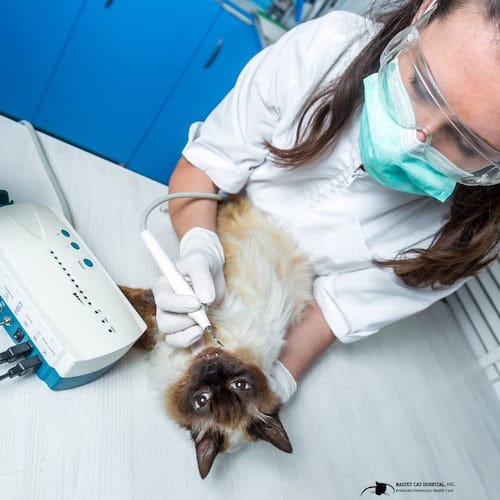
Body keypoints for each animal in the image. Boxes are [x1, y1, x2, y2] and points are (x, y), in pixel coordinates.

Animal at [121, 194, 312, 476]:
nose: (211, 369)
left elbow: (141, 312)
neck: (192, 356)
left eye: (202, 399)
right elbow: (147, 308)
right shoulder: (196, 313)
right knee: (224, 200)